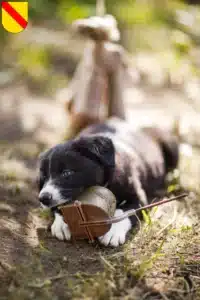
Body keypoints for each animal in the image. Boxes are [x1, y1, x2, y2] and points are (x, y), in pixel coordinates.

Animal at [38, 118, 179, 247]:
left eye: (66, 173)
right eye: (44, 177)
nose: (43, 198)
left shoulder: (139, 197)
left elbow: (124, 211)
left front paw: (113, 232)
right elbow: (58, 207)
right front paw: (61, 224)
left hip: (171, 146)